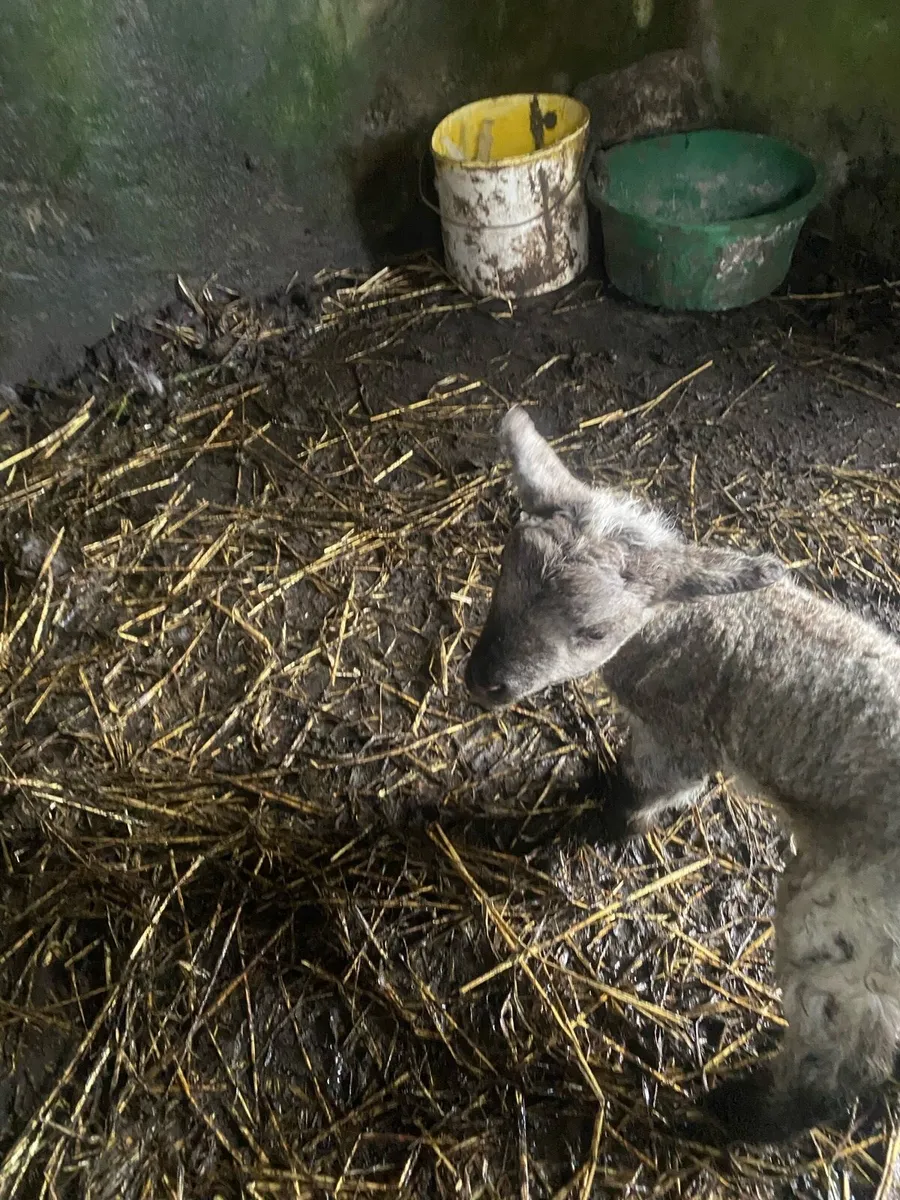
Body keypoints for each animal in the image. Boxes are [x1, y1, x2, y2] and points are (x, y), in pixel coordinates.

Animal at [463, 405, 900, 1144]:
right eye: (500, 576)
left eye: (593, 631)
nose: (483, 681)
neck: (692, 625)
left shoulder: (683, 733)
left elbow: (657, 785)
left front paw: (613, 821)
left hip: (848, 907)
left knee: (843, 1029)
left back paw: (754, 1116)